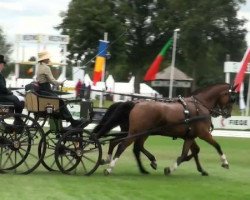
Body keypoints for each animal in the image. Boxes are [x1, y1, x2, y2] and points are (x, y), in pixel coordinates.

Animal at [94, 83, 237, 175]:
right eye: (232, 98)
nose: (228, 114)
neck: (200, 106)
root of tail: (136, 103)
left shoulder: (190, 136)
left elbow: (189, 152)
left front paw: (193, 168)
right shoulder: (203, 134)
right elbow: (217, 145)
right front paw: (225, 162)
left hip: (137, 132)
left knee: (120, 143)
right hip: (137, 132)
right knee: (123, 146)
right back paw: (110, 167)